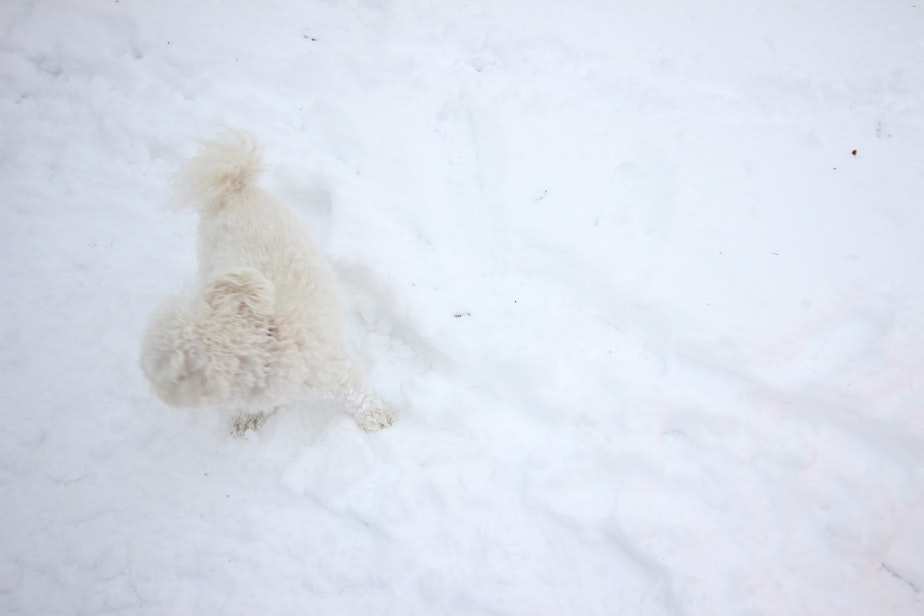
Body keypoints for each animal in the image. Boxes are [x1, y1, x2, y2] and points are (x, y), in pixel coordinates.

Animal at [140, 129, 394, 430]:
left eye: (156, 368)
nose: (155, 389)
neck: (270, 343)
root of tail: (234, 188)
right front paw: (246, 419)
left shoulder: (335, 368)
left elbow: (358, 396)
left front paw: (378, 420)